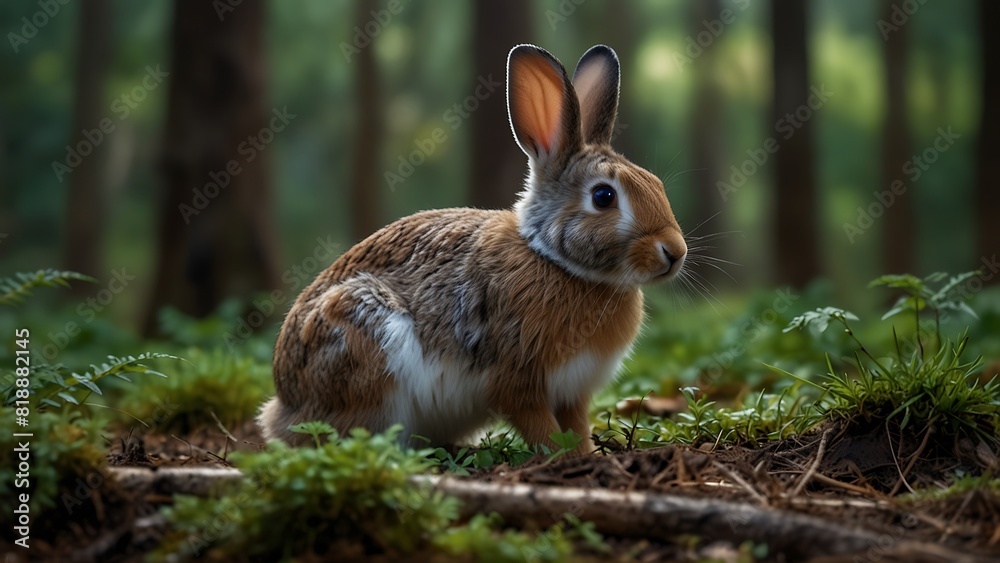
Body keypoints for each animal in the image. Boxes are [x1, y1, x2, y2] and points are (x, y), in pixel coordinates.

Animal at [258, 44, 687, 455]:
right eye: (603, 196)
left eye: (656, 183)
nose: (675, 252)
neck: (555, 260)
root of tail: (284, 404)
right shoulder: (517, 381)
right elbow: (541, 428)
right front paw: (566, 459)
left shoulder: (572, 393)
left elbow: (576, 427)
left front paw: (589, 456)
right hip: (362, 339)